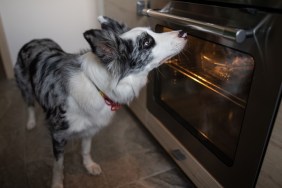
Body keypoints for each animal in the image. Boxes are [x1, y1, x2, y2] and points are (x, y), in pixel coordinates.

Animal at [14, 16, 188, 188]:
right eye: (146, 43)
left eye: (153, 32)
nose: (184, 33)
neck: (98, 86)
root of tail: (35, 40)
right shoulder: (58, 134)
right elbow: (58, 165)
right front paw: (57, 183)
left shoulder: (90, 127)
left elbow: (86, 149)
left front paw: (89, 165)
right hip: (25, 87)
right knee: (29, 104)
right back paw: (30, 122)